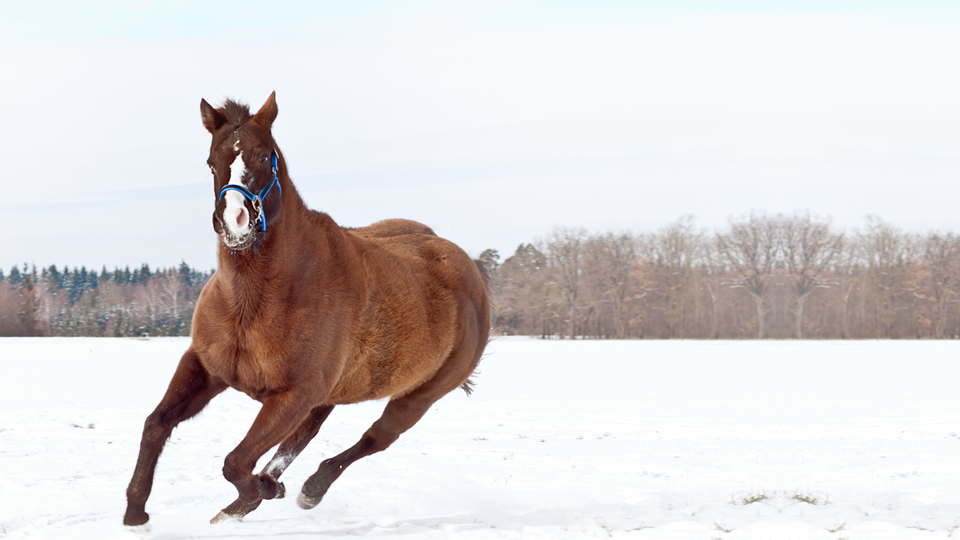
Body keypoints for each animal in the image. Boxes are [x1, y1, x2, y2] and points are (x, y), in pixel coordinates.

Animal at [123, 93, 492, 528]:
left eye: (263, 156)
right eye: (212, 161)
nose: (236, 223)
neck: (254, 302)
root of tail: (469, 268)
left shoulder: (295, 395)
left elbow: (235, 462)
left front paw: (258, 493)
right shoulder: (206, 367)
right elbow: (156, 424)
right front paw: (135, 512)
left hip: (418, 397)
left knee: (374, 439)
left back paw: (305, 491)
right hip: (331, 394)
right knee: (303, 438)